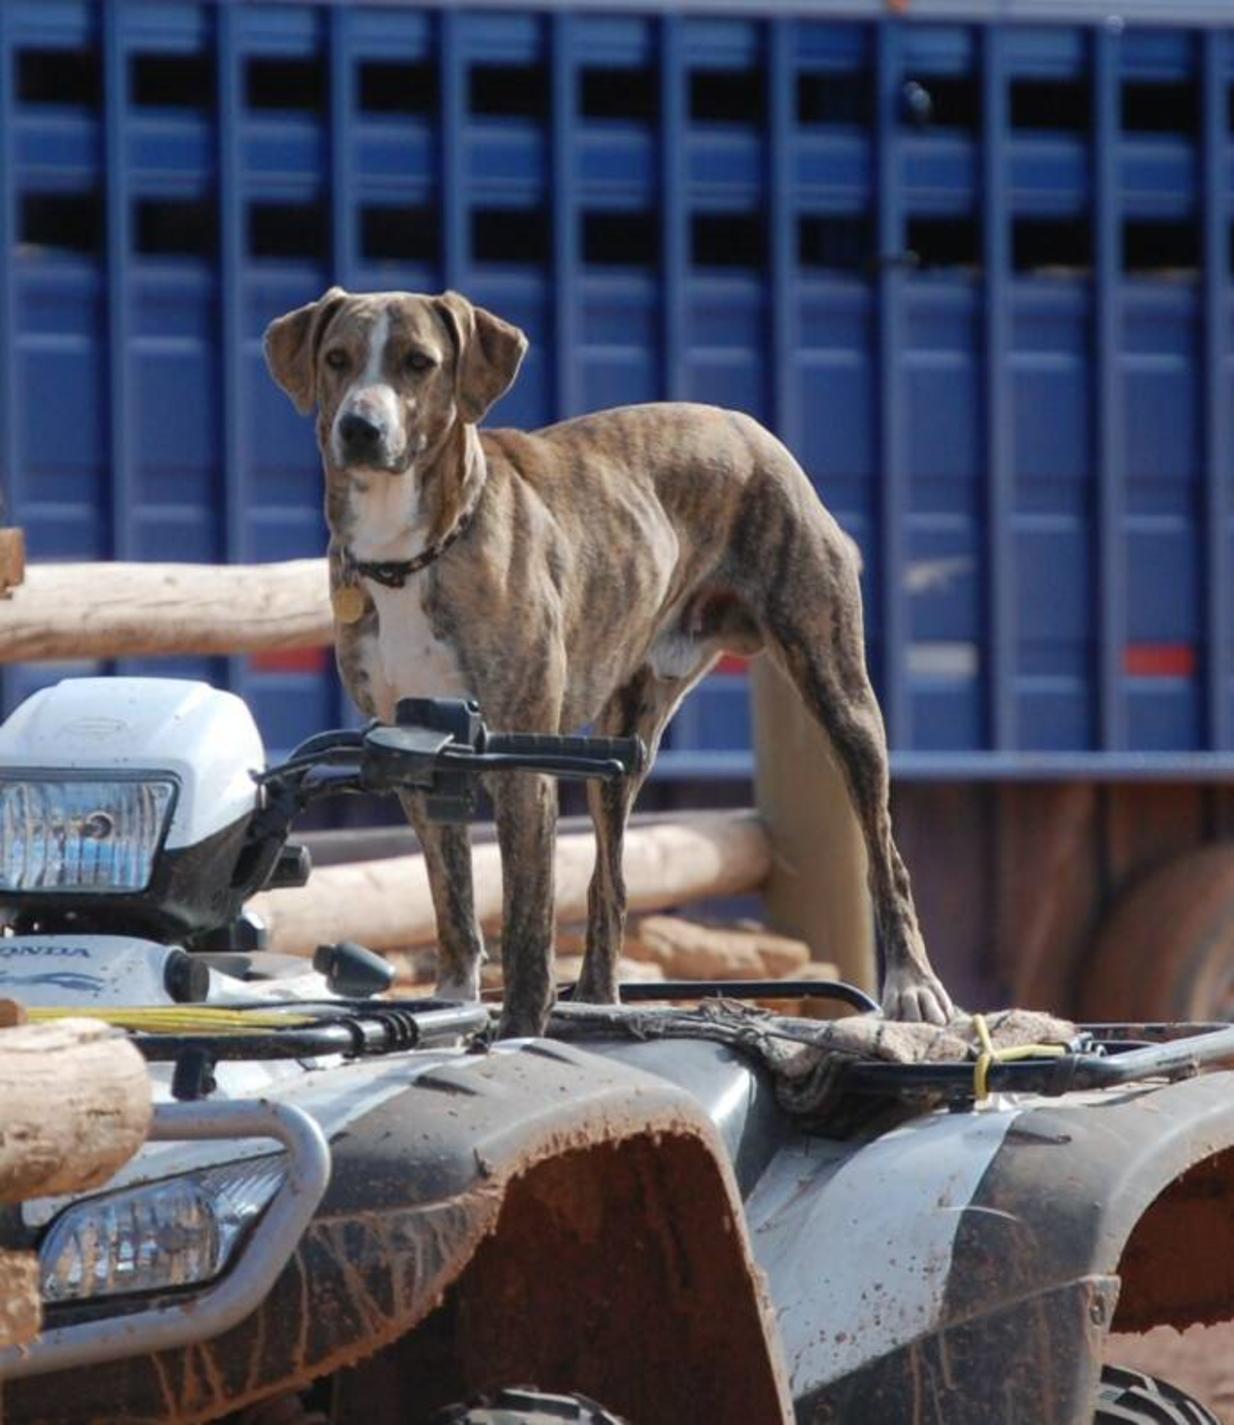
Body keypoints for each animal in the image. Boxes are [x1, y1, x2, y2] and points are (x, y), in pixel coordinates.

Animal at [262, 283, 951, 1037]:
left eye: (419, 362)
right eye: (337, 358)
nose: (360, 427)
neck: (414, 555)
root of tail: (750, 429)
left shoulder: (519, 760)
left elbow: (526, 923)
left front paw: (518, 1031)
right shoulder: (412, 757)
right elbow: (454, 903)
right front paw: (452, 1000)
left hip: (840, 694)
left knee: (887, 856)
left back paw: (913, 987)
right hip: (624, 742)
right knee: (609, 880)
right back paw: (595, 996)